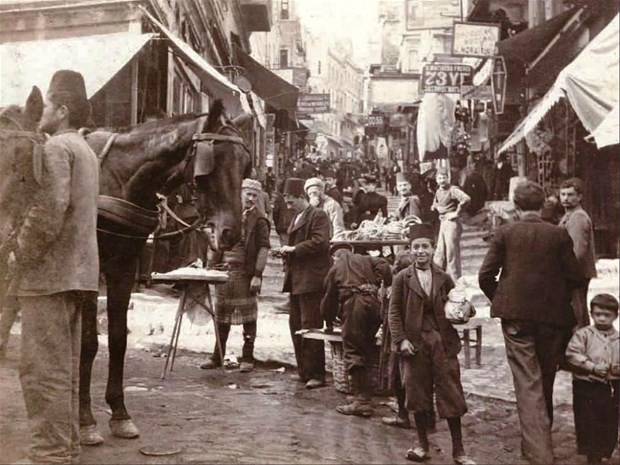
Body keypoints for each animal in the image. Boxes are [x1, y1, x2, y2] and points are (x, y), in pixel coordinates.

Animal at [0, 86, 252, 442]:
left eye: (245, 165)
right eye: (211, 165)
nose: (230, 233)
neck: (120, 180)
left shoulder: (124, 266)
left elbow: (119, 338)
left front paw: (119, 412)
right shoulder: (91, 268)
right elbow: (90, 341)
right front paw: (86, 419)